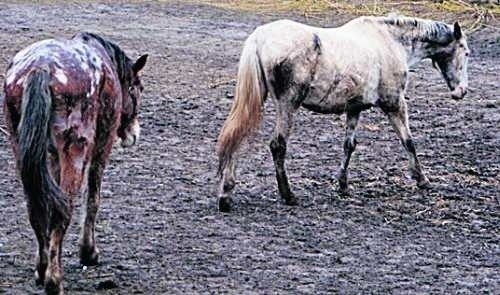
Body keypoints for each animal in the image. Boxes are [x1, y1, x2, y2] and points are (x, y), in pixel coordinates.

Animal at [2, 32, 146, 294]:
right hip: (75, 150)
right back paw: (54, 281)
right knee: (63, 210)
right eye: (136, 88)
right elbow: (93, 199)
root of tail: (40, 69)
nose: (134, 133)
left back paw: (42, 270)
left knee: (37, 208)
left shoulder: (50, 157)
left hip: (21, 147)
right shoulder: (101, 148)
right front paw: (89, 252)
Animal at [217, 15, 470, 213]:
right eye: (466, 53)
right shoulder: (394, 104)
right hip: (288, 105)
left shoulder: (354, 108)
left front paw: (343, 185)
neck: (391, 42)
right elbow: (408, 141)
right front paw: (422, 179)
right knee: (277, 145)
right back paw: (288, 195)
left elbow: (349, 146)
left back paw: (226, 196)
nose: (462, 91)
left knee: (236, 137)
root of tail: (258, 38)